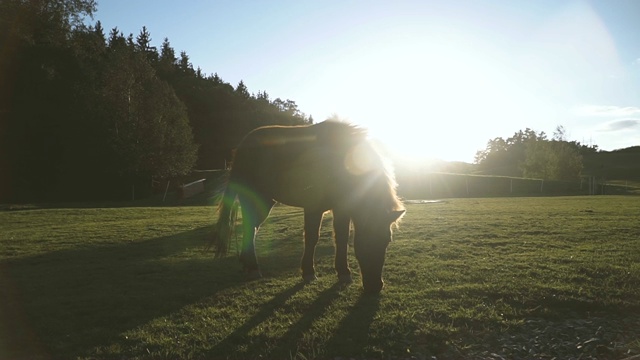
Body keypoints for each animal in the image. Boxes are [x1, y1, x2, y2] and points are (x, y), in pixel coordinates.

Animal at [211, 119, 404, 294]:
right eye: (367, 238)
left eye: (387, 240)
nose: (376, 286)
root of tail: (243, 145)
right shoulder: (313, 207)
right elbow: (312, 237)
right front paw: (309, 272)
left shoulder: (342, 208)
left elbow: (341, 238)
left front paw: (343, 272)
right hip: (250, 197)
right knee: (250, 227)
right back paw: (252, 268)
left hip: (265, 201)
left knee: (253, 228)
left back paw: (247, 263)